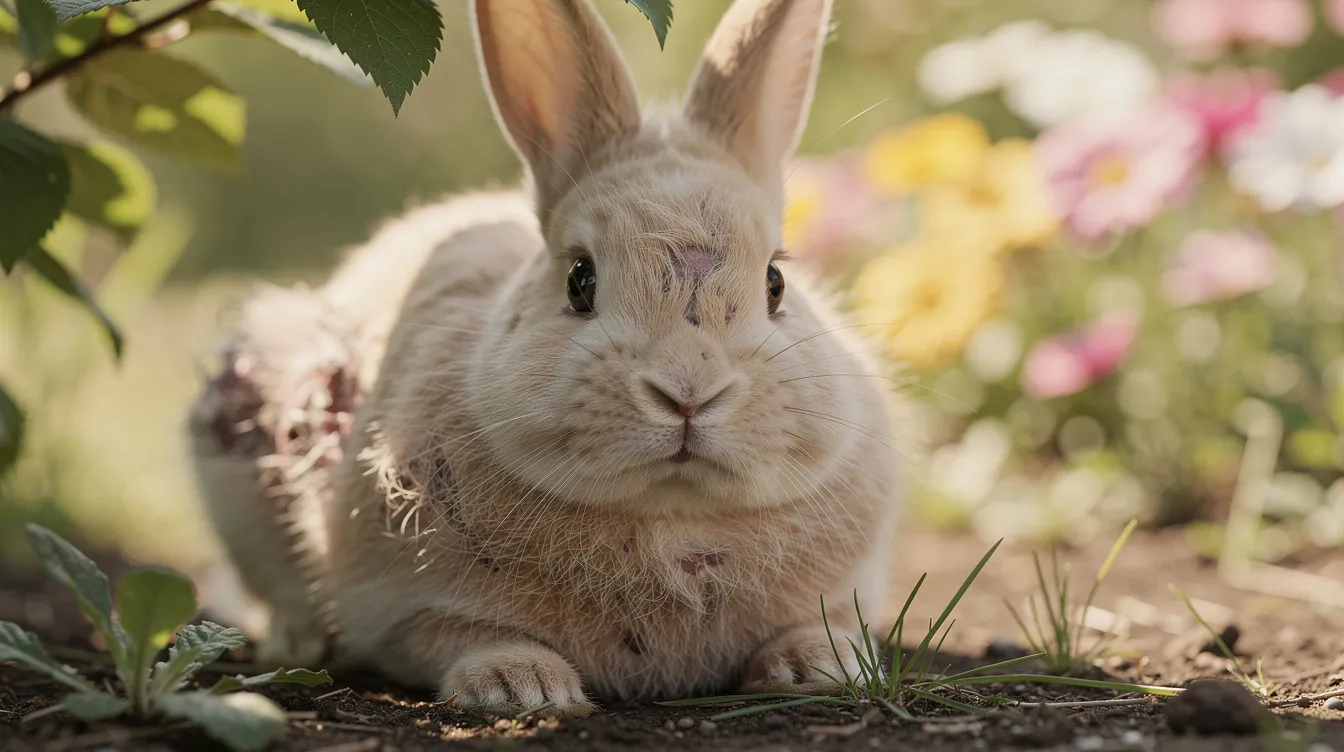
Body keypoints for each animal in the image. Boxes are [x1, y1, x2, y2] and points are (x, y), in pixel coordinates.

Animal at [188, 0, 904, 717]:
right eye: (579, 280)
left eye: (775, 282)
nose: (688, 392)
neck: (671, 517)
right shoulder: (397, 611)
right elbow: (458, 635)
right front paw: (521, 685)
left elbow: (819, 625)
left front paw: (820, 665)